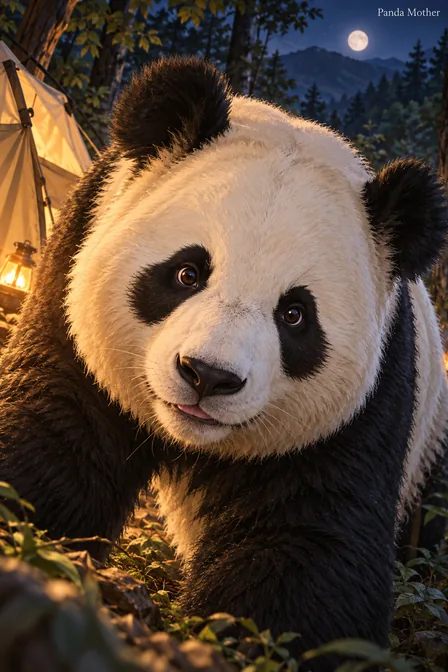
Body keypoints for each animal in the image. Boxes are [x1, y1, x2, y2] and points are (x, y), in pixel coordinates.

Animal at [0, 56, 447, 669]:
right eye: (188, 272)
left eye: (295, 315)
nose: (208, 375)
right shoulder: (74, 272)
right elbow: (57, 440)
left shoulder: (369, 401)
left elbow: (307, 545)